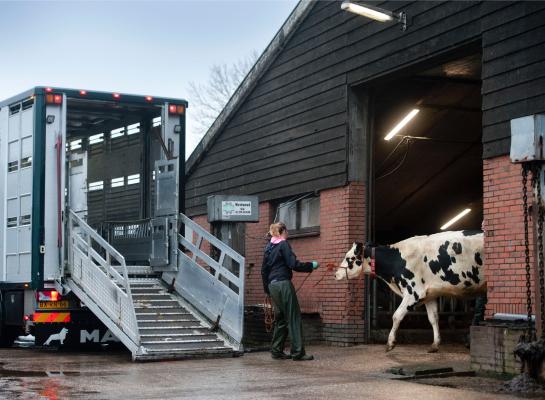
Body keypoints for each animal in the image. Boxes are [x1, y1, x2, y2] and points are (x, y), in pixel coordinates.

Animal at [336, 230, 484, 352]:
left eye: (349, 258)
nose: (336, 274)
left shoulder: (413, 293)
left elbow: (396, 315)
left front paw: (390, 343)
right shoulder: (430, 294)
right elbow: (433, 318)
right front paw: (435, 344)